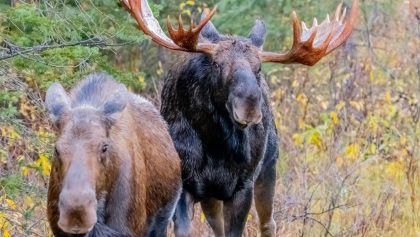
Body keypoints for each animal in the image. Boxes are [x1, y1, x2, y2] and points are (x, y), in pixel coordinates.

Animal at [120, 0, 358, 236]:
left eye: (258, 68)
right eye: (217, 64)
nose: (249, 107)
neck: (214, 145)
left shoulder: (243, 186)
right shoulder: (185, 183)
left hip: (267, 169)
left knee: (268, 223)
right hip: (211, 196)